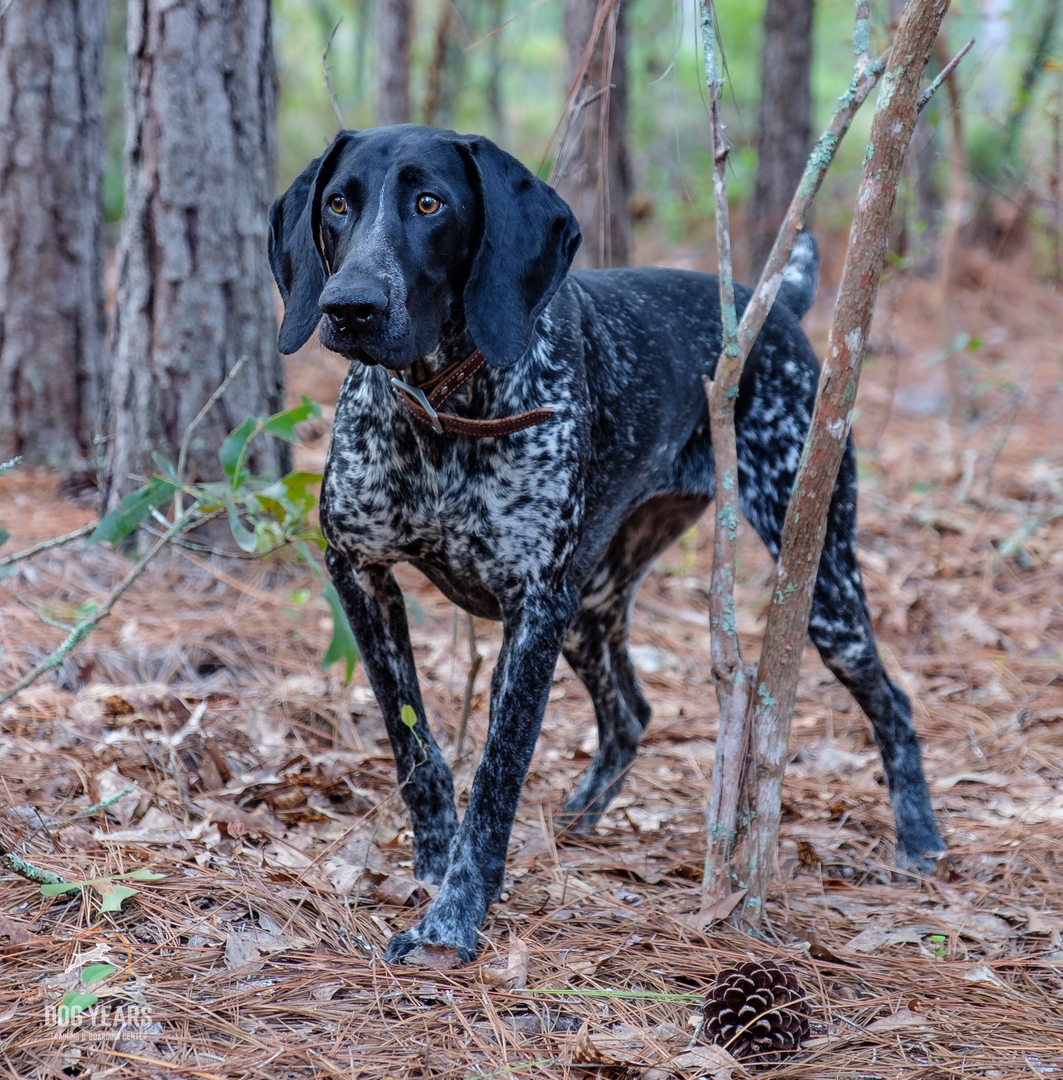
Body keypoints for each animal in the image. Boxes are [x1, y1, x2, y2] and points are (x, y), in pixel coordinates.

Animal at [267, 126, 946, 963]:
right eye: (337, 204)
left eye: (430, 203)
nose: (348, 307)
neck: (441, 407)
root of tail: (776, 306)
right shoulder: (360, 571)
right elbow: (415, 746)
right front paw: (430, 866)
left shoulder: (533, 611)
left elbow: (495, 777)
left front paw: (452, 919)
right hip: (590, 605)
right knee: (631, 714)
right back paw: (579, 817)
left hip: (818, 587)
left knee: (892, 702)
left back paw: (919, 838)